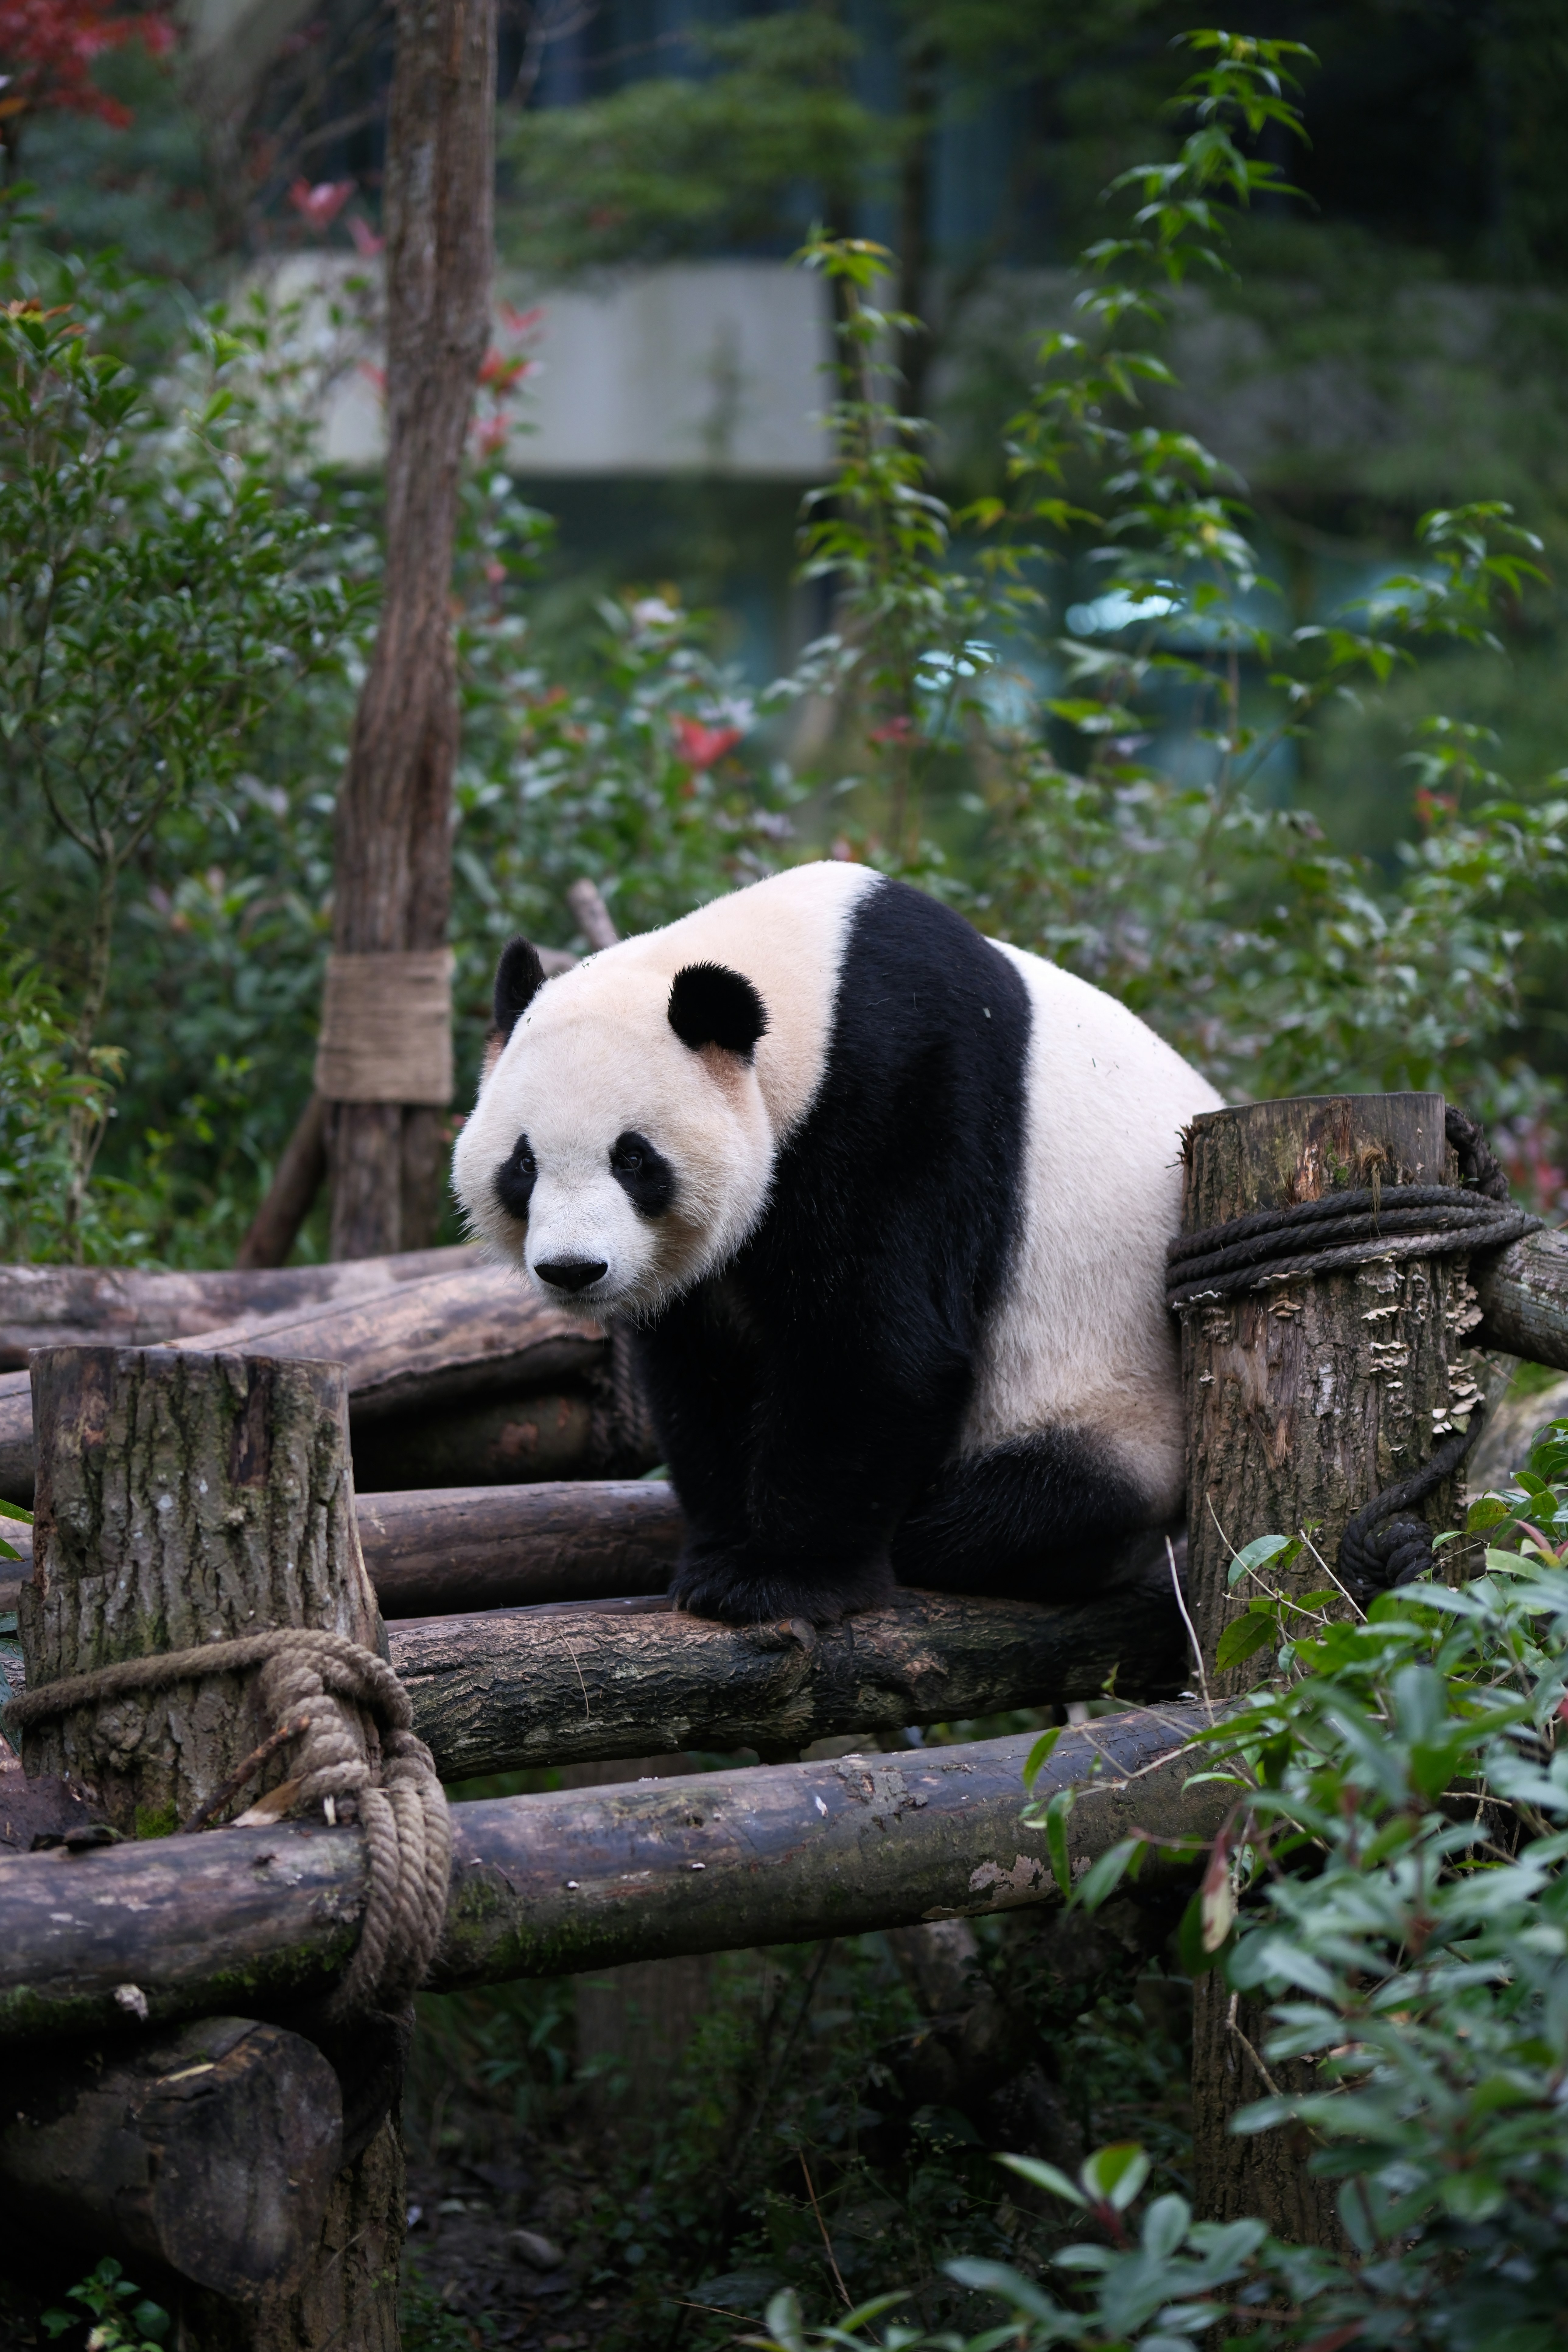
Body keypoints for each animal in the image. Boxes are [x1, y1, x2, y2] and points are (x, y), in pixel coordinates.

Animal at [452, 862, 1222, 1626]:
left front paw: (778, 1578)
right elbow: (703, 1371)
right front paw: (719, 1549)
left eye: (634, 1159)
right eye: (524, 1164)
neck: (813, 985)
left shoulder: (905, 1094)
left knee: (1027, 1508)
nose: (572, 1270)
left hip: (1117, 1409)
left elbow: (876, 1342)